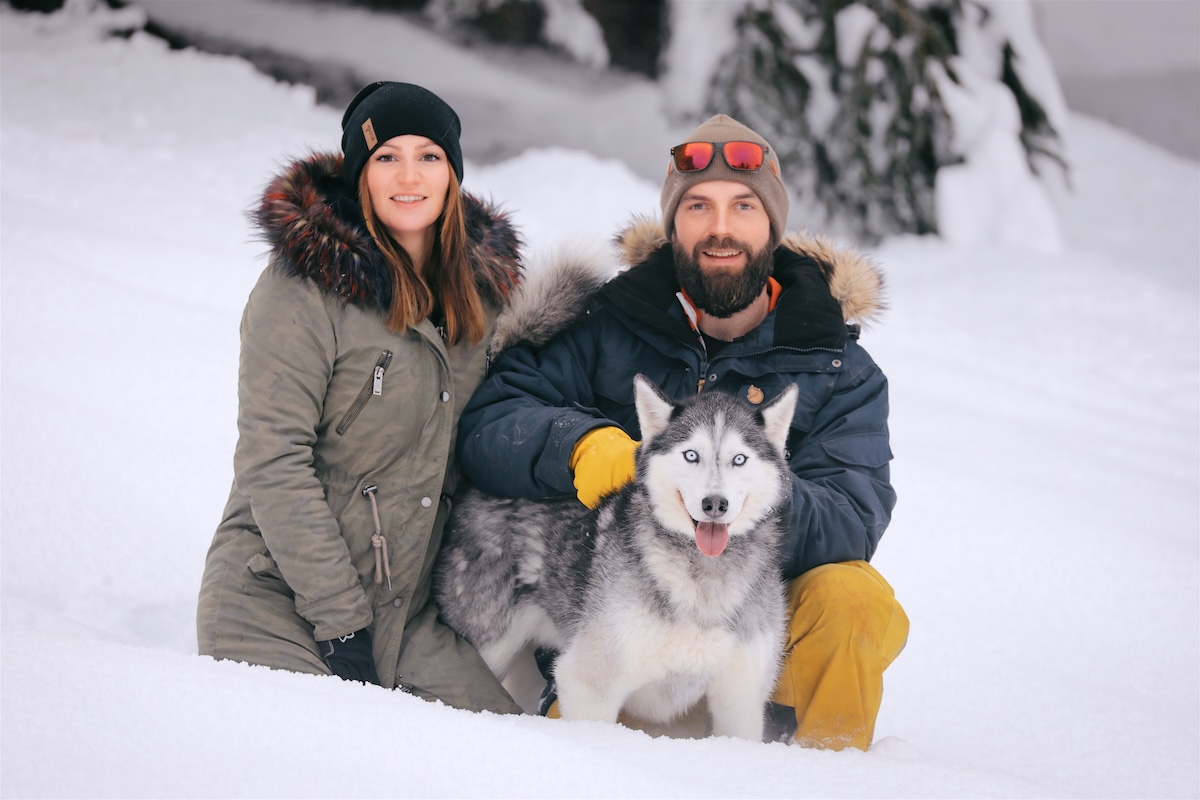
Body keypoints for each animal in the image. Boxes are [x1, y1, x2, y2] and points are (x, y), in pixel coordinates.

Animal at [434, 371, 796, 743]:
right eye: (691, 455)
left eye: (740, 459)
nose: (715, 504)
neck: (704, 575)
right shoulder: (588, 683)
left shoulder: (740, 699)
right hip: (488, 646)